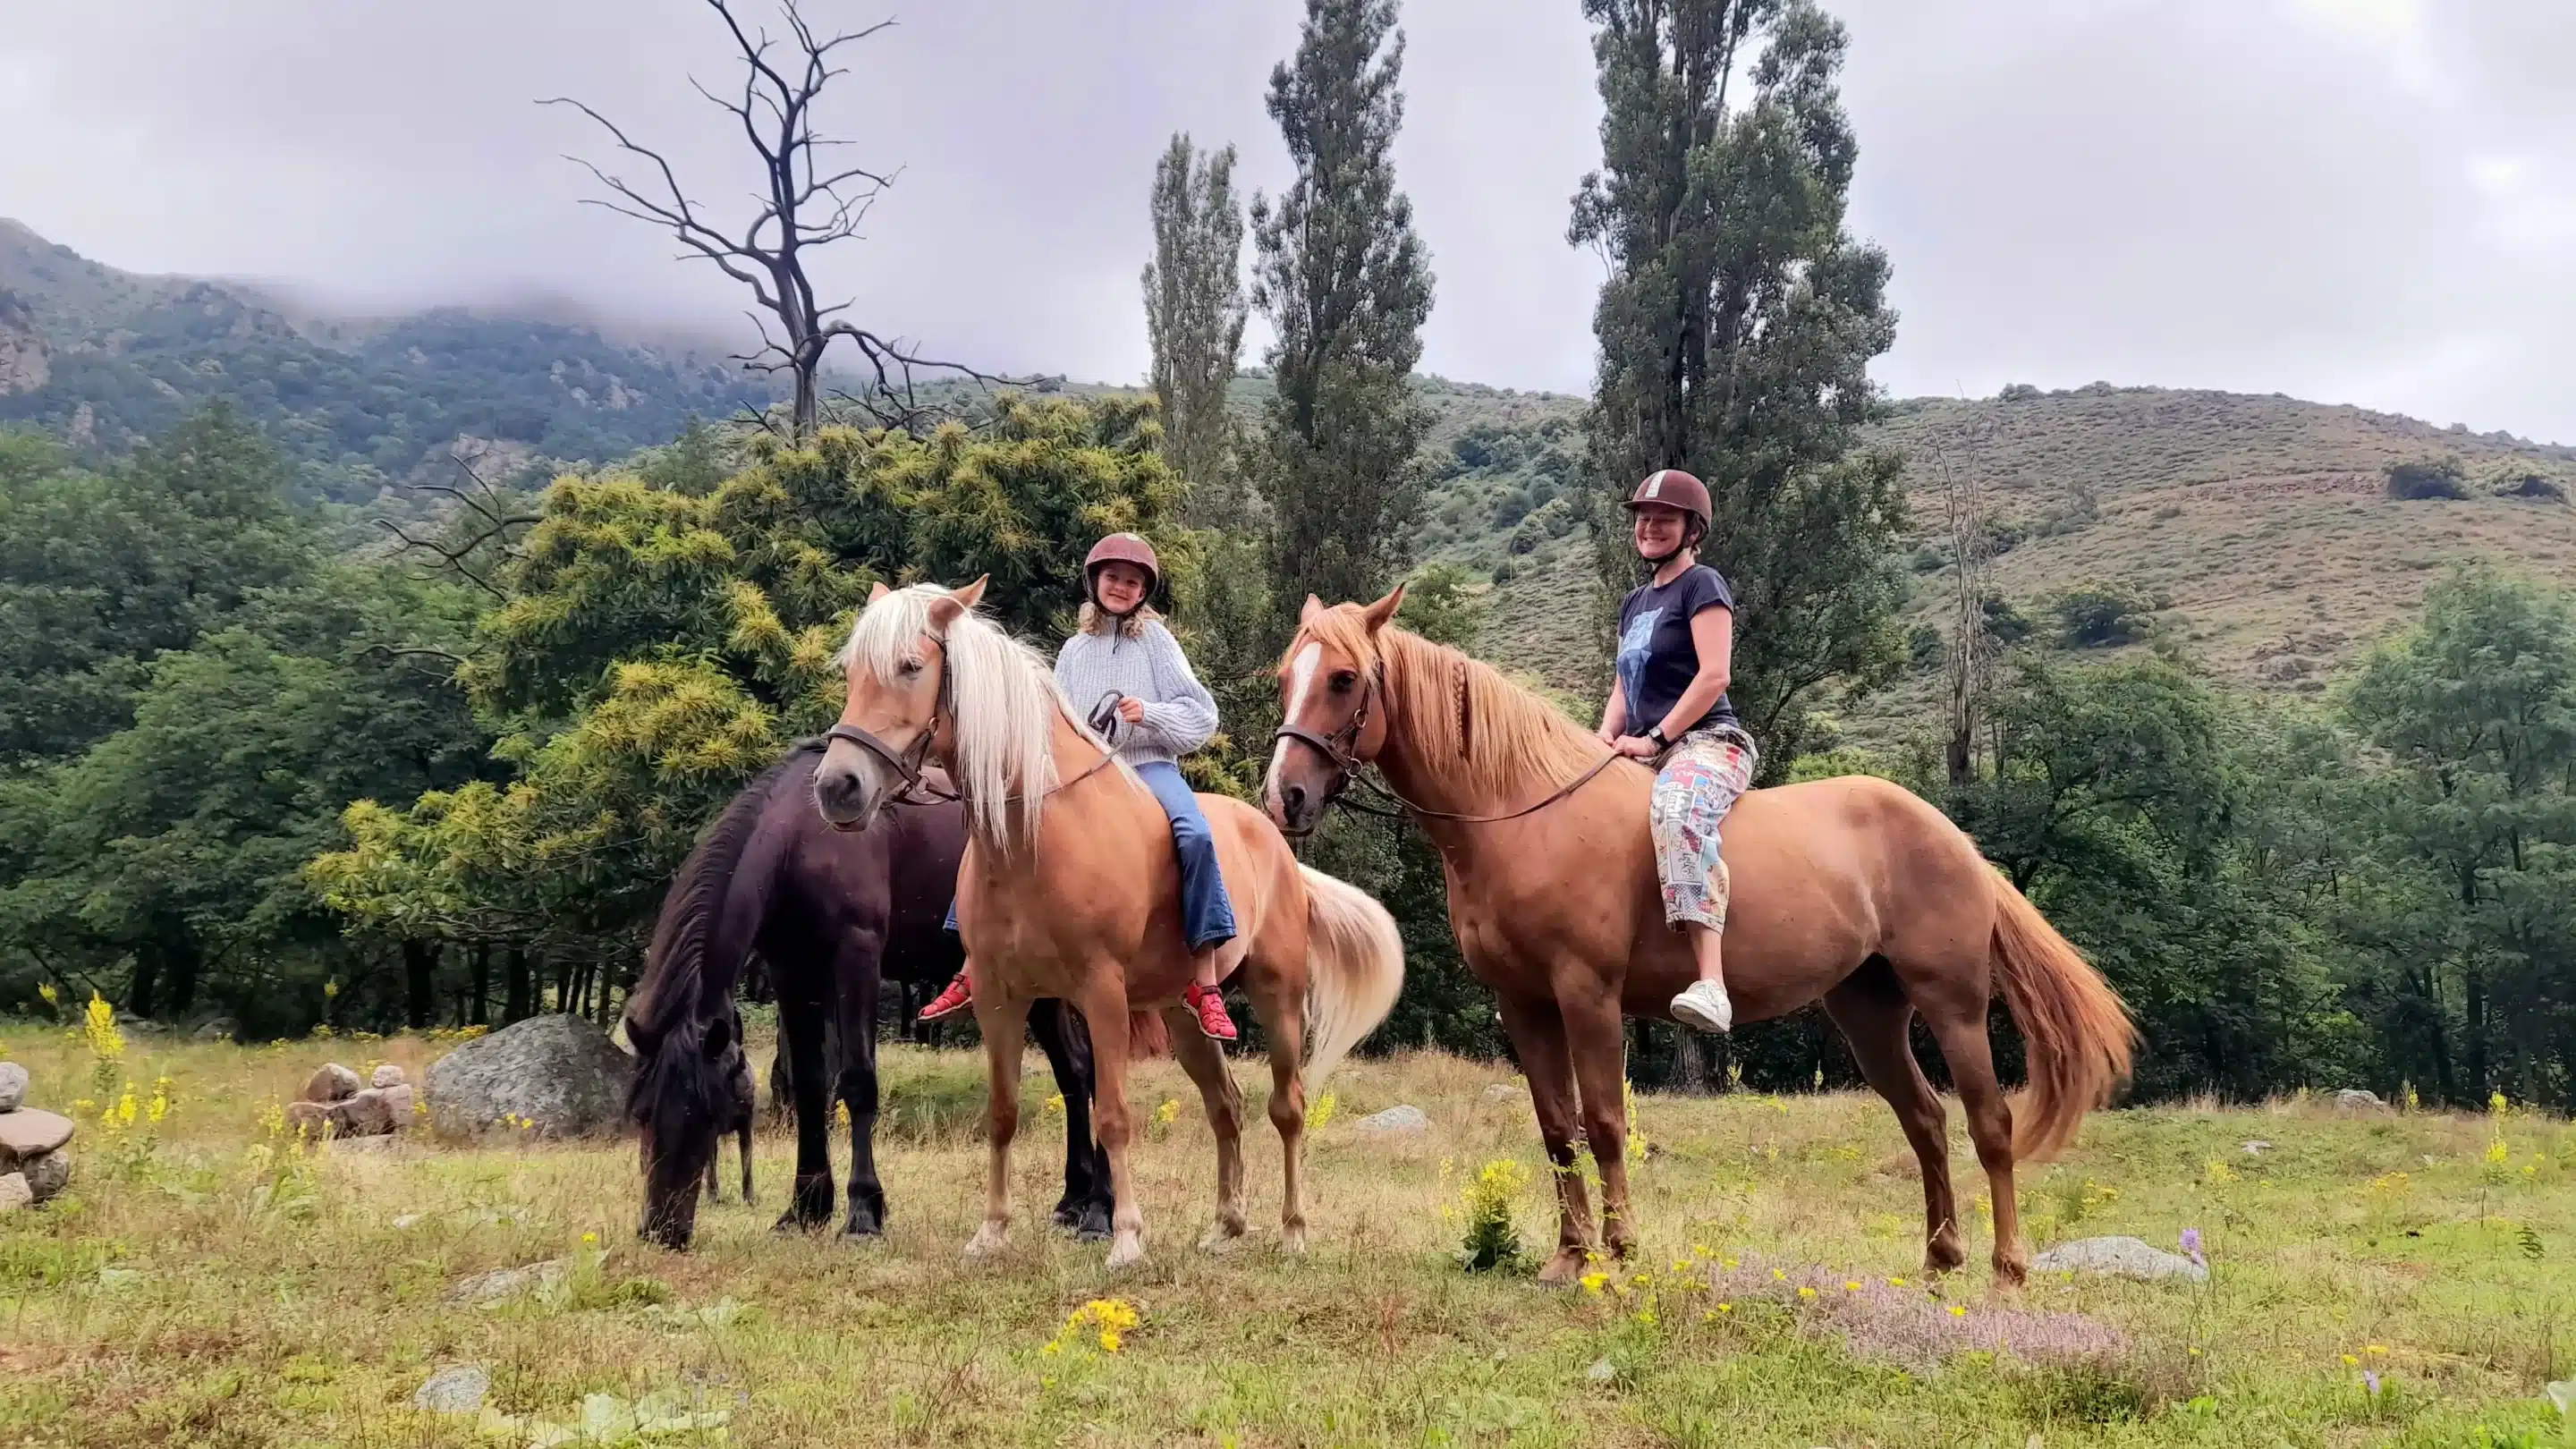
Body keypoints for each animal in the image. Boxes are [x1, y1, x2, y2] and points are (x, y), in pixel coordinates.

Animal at [625, 737, 1117, 1248]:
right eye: (641, 1114)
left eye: (704, 1112)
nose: (660, 1230)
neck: (798, 839)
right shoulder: (793, 973)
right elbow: (808, 1085)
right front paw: (805, 1208)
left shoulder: (855, 955)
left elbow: (858, 1081)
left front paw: (863, 1211)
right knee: (1075, 1072)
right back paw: (1073, 1201)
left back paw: (1101, 1209)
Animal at [809, 577, 1401, 1263]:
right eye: (851, 671)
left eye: (909, 666)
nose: (838, 787)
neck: (1037, 835)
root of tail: (1277, 843)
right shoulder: (1000, 998)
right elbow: (1003, 1113)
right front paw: (991, 1232)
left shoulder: (1102, 994)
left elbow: (1112, 1115)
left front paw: (1126, 1238)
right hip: (1183, 1015)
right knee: (1225, 1106)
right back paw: (1225, 1226)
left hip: (1277, 998)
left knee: (1288, 1108)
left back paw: (1294, 1231)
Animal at [1262, 588, 2132, 1284]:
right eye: (1284, 676)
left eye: (1344, 679)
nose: (1285, 798)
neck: (1523, 813)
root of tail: (1955, 839)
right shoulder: (1524, 1005)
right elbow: (1557, 1131)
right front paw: (1568, 1256)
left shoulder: (1588, 996)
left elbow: (1605, 1123)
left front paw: (1618, 1253)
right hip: (1869, 1012)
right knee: (1925, 1121)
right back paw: (1939, 1259)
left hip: (1953, 1005)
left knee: (1990, 1126)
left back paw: (2006, 1268)